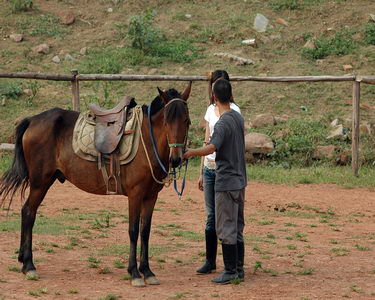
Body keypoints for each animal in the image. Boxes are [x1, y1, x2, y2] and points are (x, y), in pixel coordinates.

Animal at [0, 82, 192, 286]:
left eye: (187, 121)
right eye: (166, 121)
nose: (176, 159)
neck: (147, 141)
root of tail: (32, 120)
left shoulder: (151, 196)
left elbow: (145, 231)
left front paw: (147, 271)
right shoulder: (135, 194)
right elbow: (133, 230)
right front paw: (134, 272)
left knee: (26, 212)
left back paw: (23, 259)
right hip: (40, 183)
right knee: (29, 213)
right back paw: (29, 265)